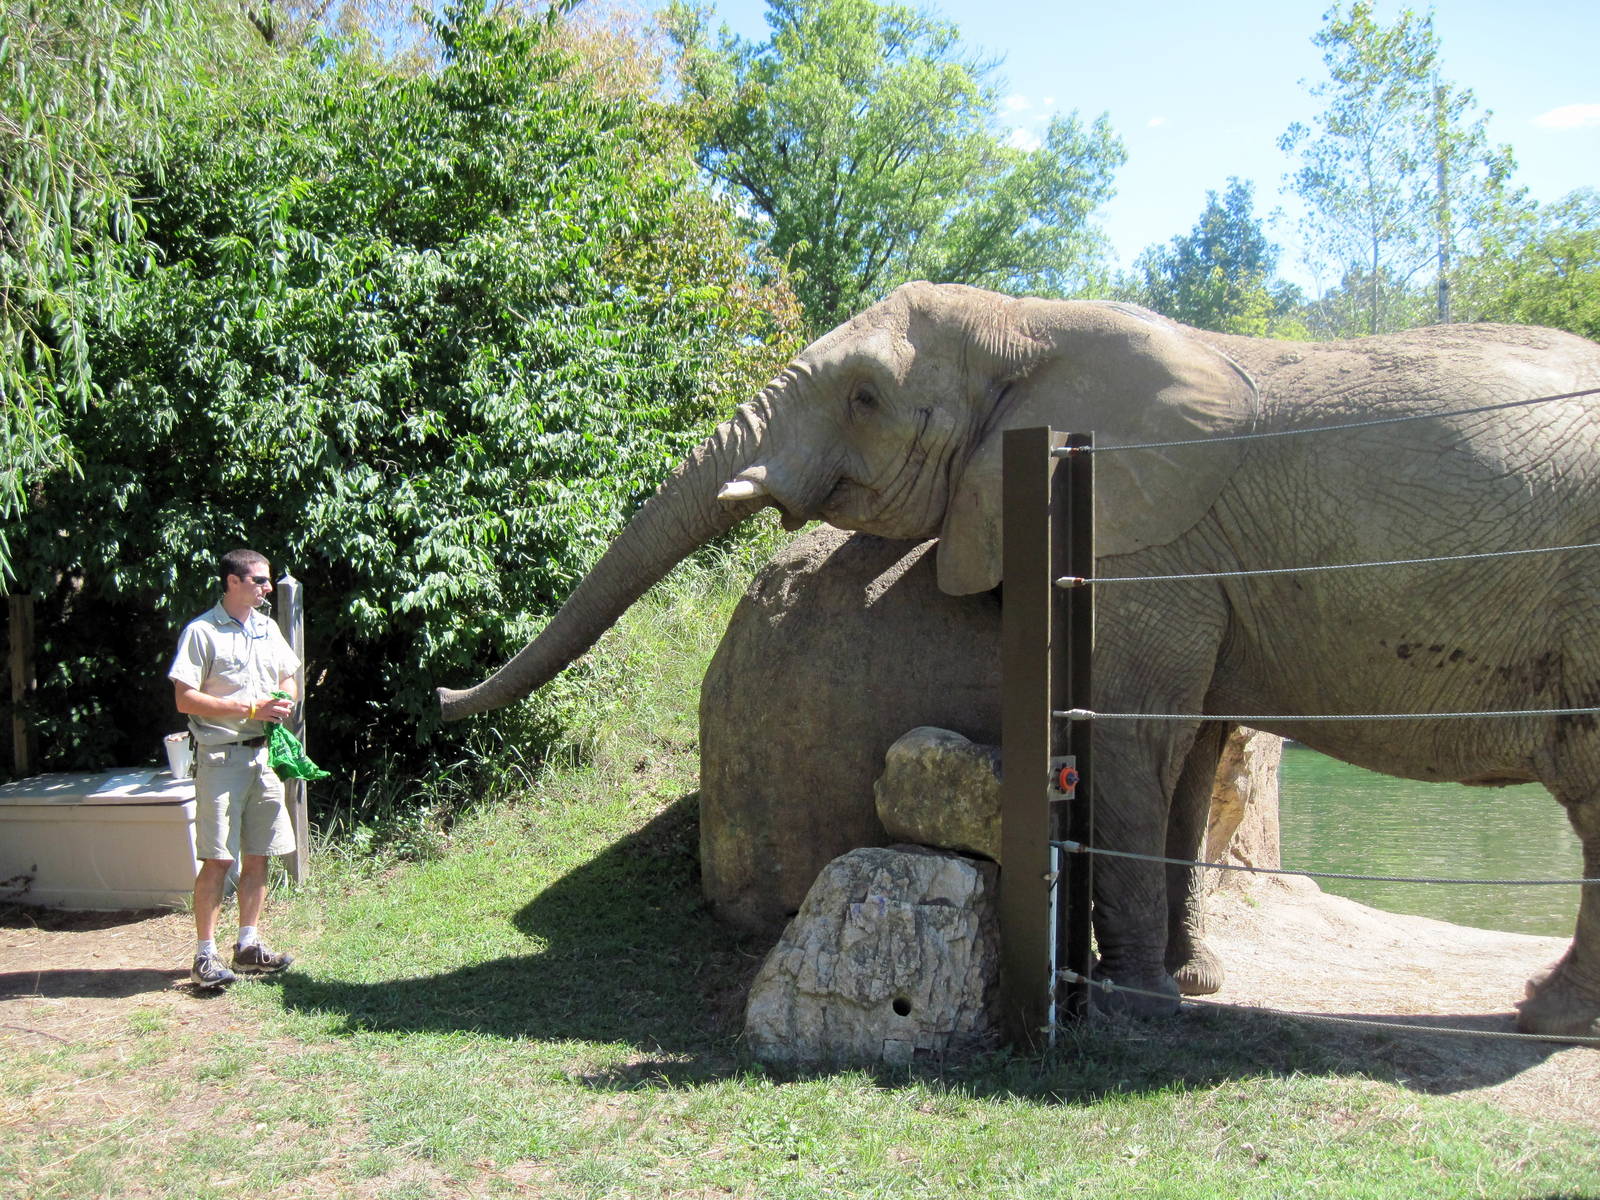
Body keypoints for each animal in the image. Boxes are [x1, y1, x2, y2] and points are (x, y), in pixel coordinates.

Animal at [438, 282, 1600, 1038]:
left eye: (865, 396)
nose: (440, 693)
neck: (1034, 319)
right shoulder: (1185, 567)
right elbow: (1187, 758)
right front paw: (1194, 985)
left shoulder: (1139, 545)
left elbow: (1137, 742)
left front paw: (1141, 1006)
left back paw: (1545, 1019)